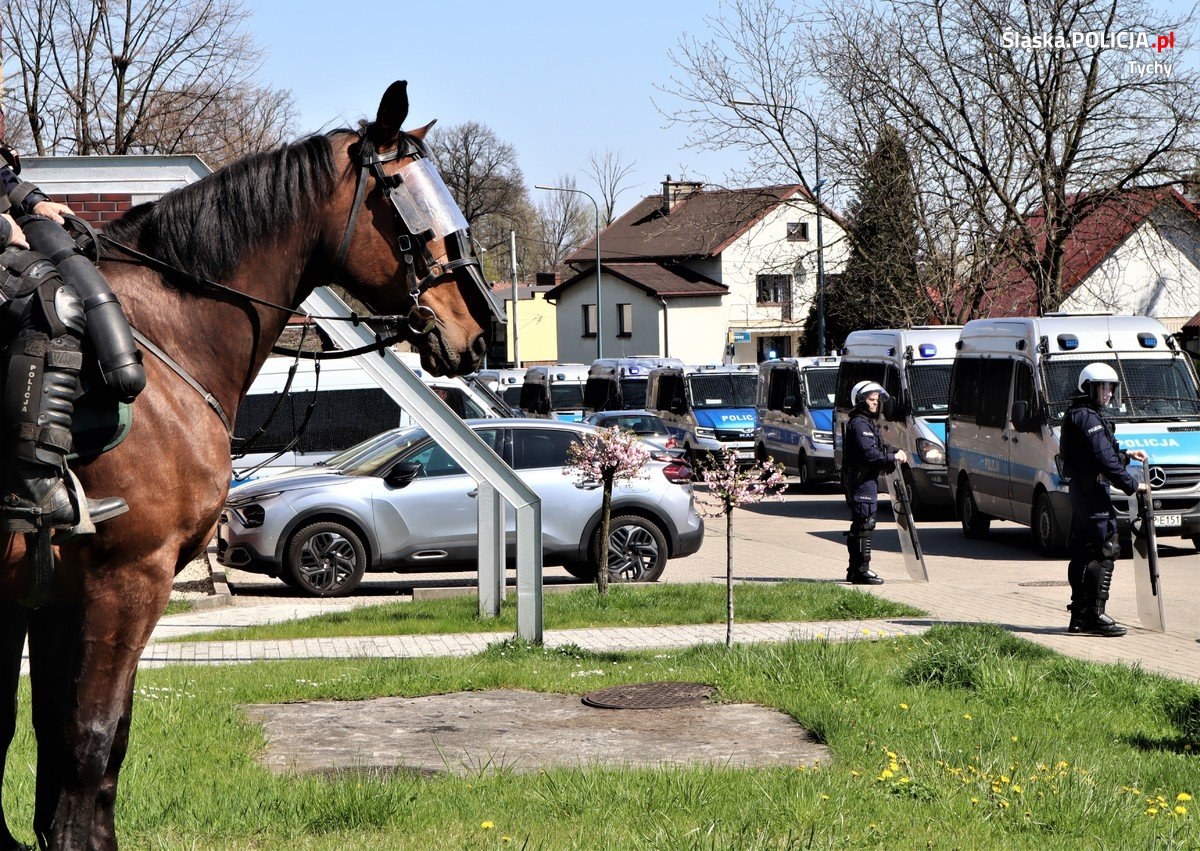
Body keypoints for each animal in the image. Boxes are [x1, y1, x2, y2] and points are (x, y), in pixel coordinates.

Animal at [0, 78, 494, 844]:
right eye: (406, 201)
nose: (479, 329)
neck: (167, 337)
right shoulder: (125, 579)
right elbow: (91, 737)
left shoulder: (57, 594)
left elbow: (76, 746)